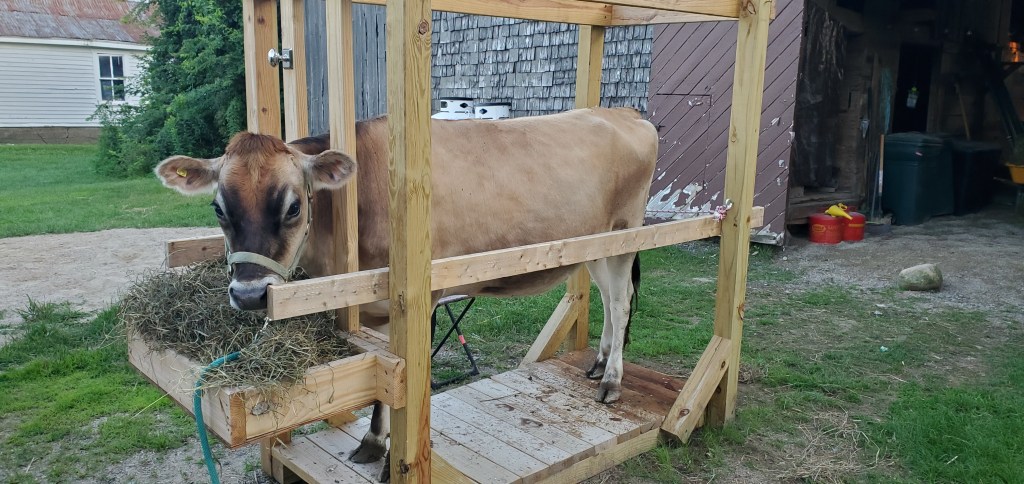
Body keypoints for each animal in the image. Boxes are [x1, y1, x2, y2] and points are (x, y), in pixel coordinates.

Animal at [155, 107, 658, 479]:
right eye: (218, 208)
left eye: (294, 206)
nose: (248, 295)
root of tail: (625, 112)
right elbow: (380, 376)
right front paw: (372, 442)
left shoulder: (424, 299)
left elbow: (397, 383)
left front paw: (385, 454)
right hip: (594, 247)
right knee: (608, 298)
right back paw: (597, 364)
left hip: (625, 234)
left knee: (620, 302)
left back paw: (612, 382)